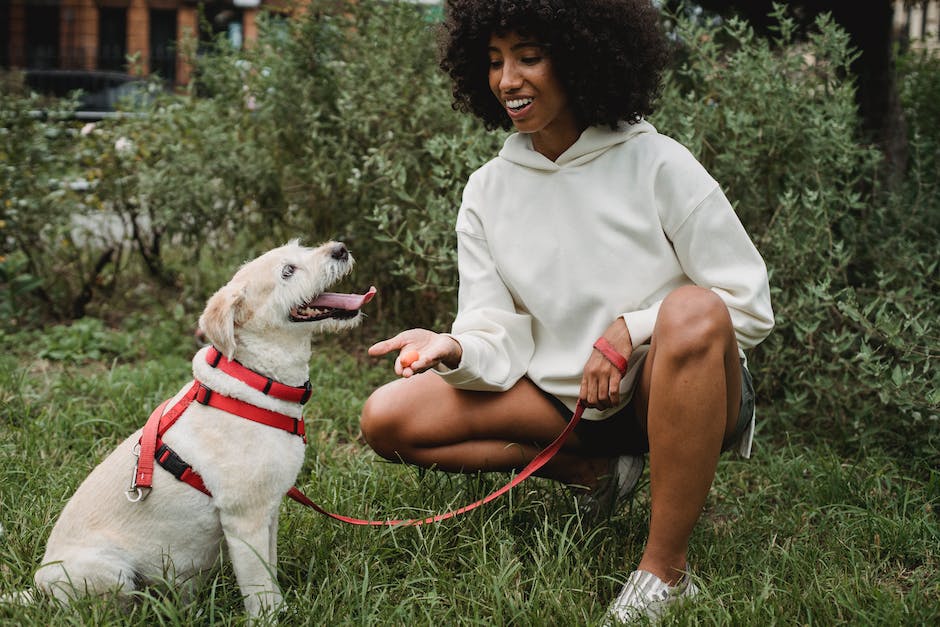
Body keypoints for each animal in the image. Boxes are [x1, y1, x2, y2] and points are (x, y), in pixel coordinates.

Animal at [8, 239, 374, 620]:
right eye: (288, 271)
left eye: (301, 247)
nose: (340, 248)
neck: (256, 381)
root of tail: (37, 591)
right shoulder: (244, 520)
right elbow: (260, 589)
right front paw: (270, 618)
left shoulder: (268, 512)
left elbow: (271, 573)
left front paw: (285, 610)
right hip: (109, 571)